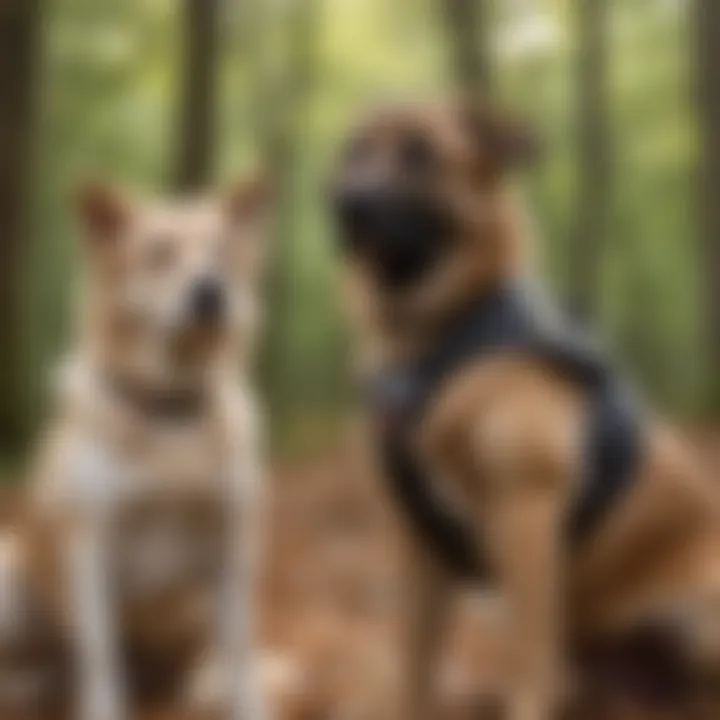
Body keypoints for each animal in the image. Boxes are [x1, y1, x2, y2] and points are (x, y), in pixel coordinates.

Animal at [330, 100, 720, 720]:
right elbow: (414, 666)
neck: (436, 338)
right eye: (353, 152)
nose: (345, 202)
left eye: (421, 153)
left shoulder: (526, 512)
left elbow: (530, 664)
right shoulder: (415, 540)